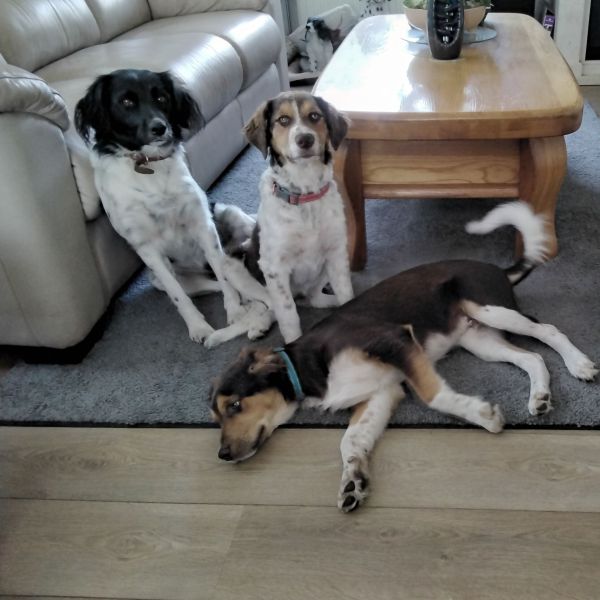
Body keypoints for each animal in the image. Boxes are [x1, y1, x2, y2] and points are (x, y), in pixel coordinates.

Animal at [75, 68, 270, 344]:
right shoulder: (146, 248)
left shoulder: (203, 226)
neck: (148, 167)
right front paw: (198, 327)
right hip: (157, 278)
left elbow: (225, 279)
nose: (160, 127)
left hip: (231, 216)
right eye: (126, 101)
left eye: (162, 98)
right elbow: (178, 295)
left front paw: (234, 312)